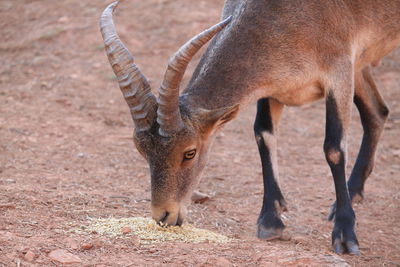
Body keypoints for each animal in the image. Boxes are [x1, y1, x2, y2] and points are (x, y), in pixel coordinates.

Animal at [101, 0, 400, 255]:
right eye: (142, 151)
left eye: (190, 152)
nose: (164, 216)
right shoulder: (274, 84)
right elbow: (263, 135)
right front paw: (270, 221)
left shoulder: (339, 71)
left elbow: (334, 148)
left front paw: (345, 235)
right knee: (377, 111)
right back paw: (353, 192)